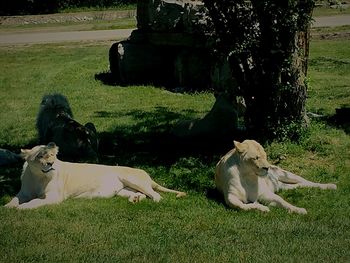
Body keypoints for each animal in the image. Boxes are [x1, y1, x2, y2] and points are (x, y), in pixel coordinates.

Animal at [5, 142, 186, 210]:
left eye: (52, 155)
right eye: (40, 156)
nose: (50, 164)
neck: (37, 177)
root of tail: (145, 173)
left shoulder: (54, 197)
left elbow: (34, 202)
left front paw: (21, 208)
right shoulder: (24, 193)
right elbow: (15, 199)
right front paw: (7, 206)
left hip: (133, 179)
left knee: (155, 194)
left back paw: (155, 202)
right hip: (123, 190)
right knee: (140, 194)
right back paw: (134, 199)